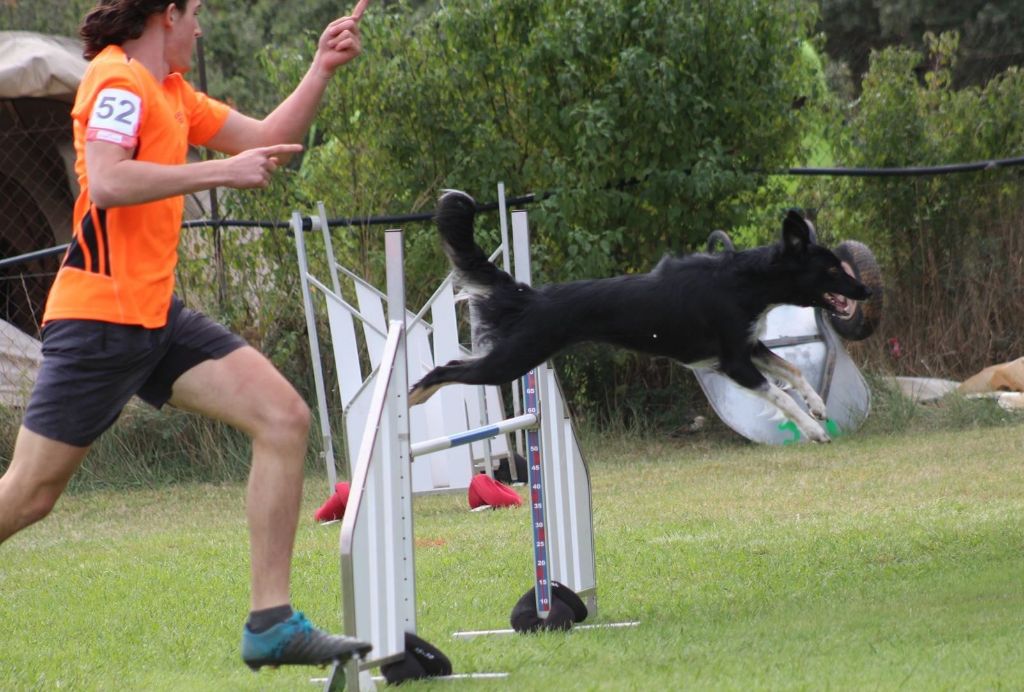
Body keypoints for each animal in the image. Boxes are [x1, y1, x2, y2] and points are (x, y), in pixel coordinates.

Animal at [405, 188, 864, 444]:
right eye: (831, 269)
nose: (866, 290)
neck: (744, 281)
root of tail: (530, 296)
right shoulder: (733, 360)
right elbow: (779, 394)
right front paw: (813, 430)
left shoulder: (748, 345)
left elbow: (793, 371)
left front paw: (817, 406)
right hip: (513, 358)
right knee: (448, 367)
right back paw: (411, 397)